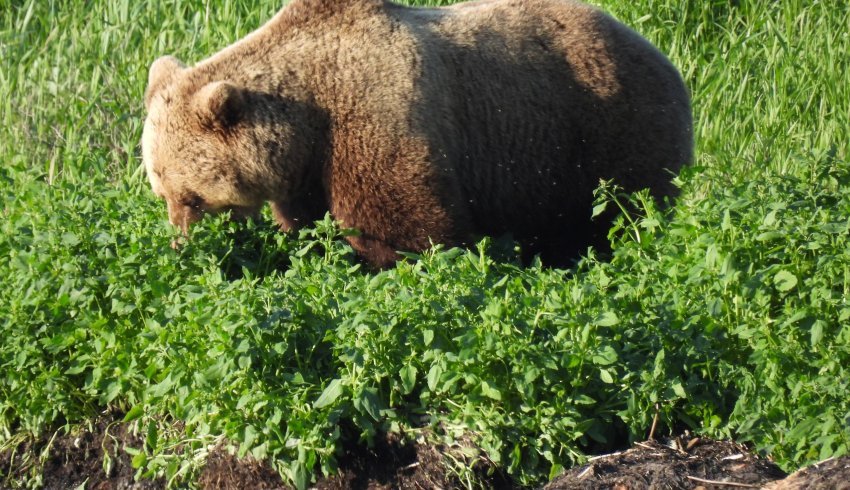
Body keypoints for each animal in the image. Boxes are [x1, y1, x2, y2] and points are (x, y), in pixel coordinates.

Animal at [142, 0, 692, 268]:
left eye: (188, 195)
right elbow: (306, 224)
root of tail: (664, 57)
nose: (178, 240)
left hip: (608, 130)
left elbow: (405, 224)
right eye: (158, 186)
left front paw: (391, 264)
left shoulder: (373, 118)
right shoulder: (309, 168)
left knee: (619, 214)